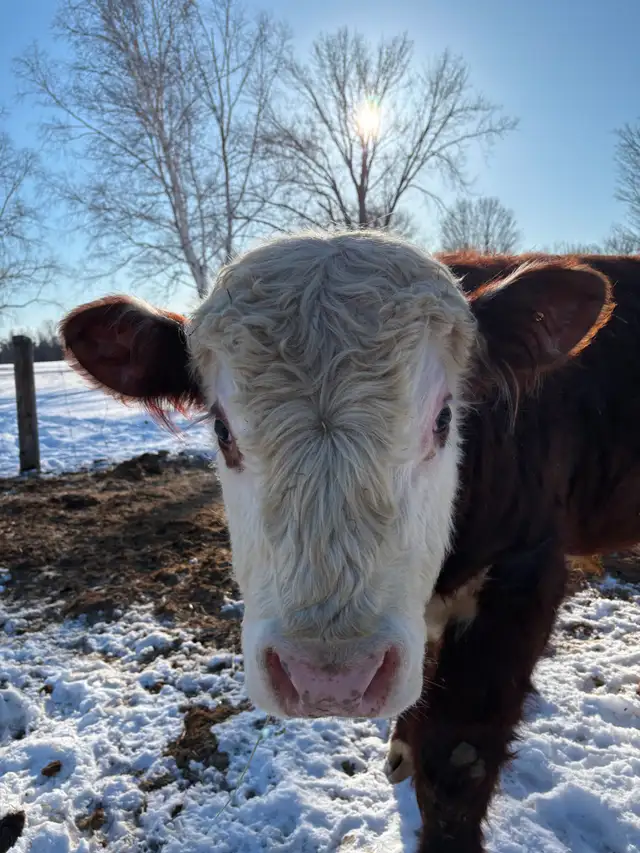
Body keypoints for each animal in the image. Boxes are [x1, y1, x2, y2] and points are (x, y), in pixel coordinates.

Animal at [60, 230, 640, 853]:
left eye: (444, 419)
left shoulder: (523, 572)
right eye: (221, 430)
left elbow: (458, 760)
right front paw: (402, 745)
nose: (329, 678)